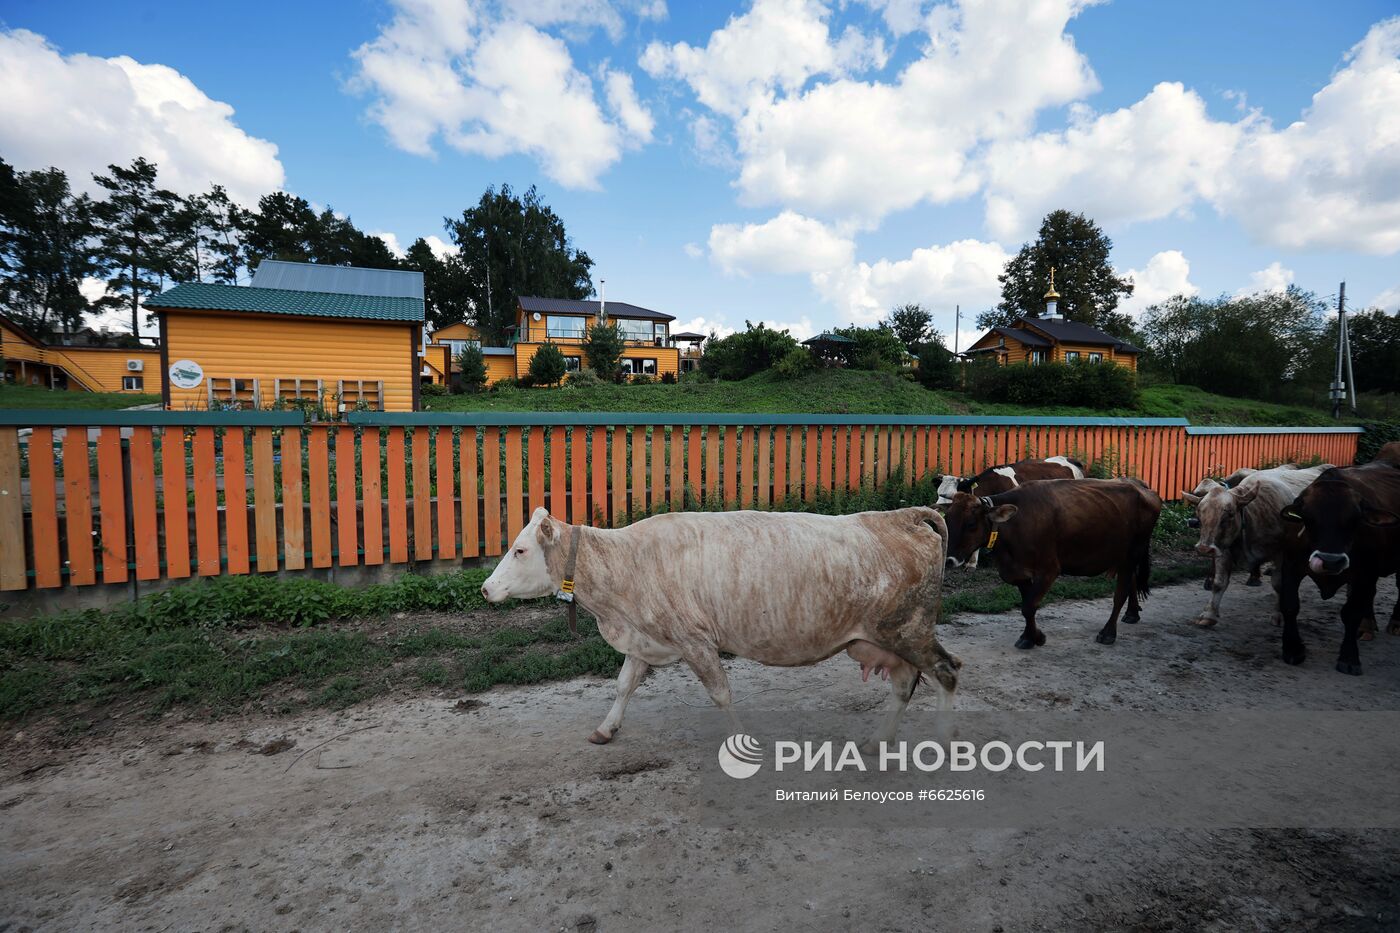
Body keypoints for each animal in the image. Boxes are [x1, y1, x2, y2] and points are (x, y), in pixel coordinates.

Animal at [946, 479, 1164, 647]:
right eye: (947, 520)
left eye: (971, 524)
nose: (949, 559)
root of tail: (1141, 485)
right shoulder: (1019, 572)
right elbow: (1027, 605)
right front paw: (1032, 637)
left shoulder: (1048, 570)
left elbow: (1029, 606)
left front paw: (1033, 638)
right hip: (1123, 555)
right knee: (1131, 581)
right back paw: (1132, 613)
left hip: (1132, 552)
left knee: (1120, 593)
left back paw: (1108, 632)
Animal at [1282, 456, 1400, 669]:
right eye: (1308, 518)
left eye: (1356, 520)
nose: (1331, 561)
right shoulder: (1290, 566)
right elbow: (1290, 605)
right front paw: (1293, 649)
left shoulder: (1365, 573)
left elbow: (1351, 613)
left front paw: (1349, 657)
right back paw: (1367, 625)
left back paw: (1394, 623)